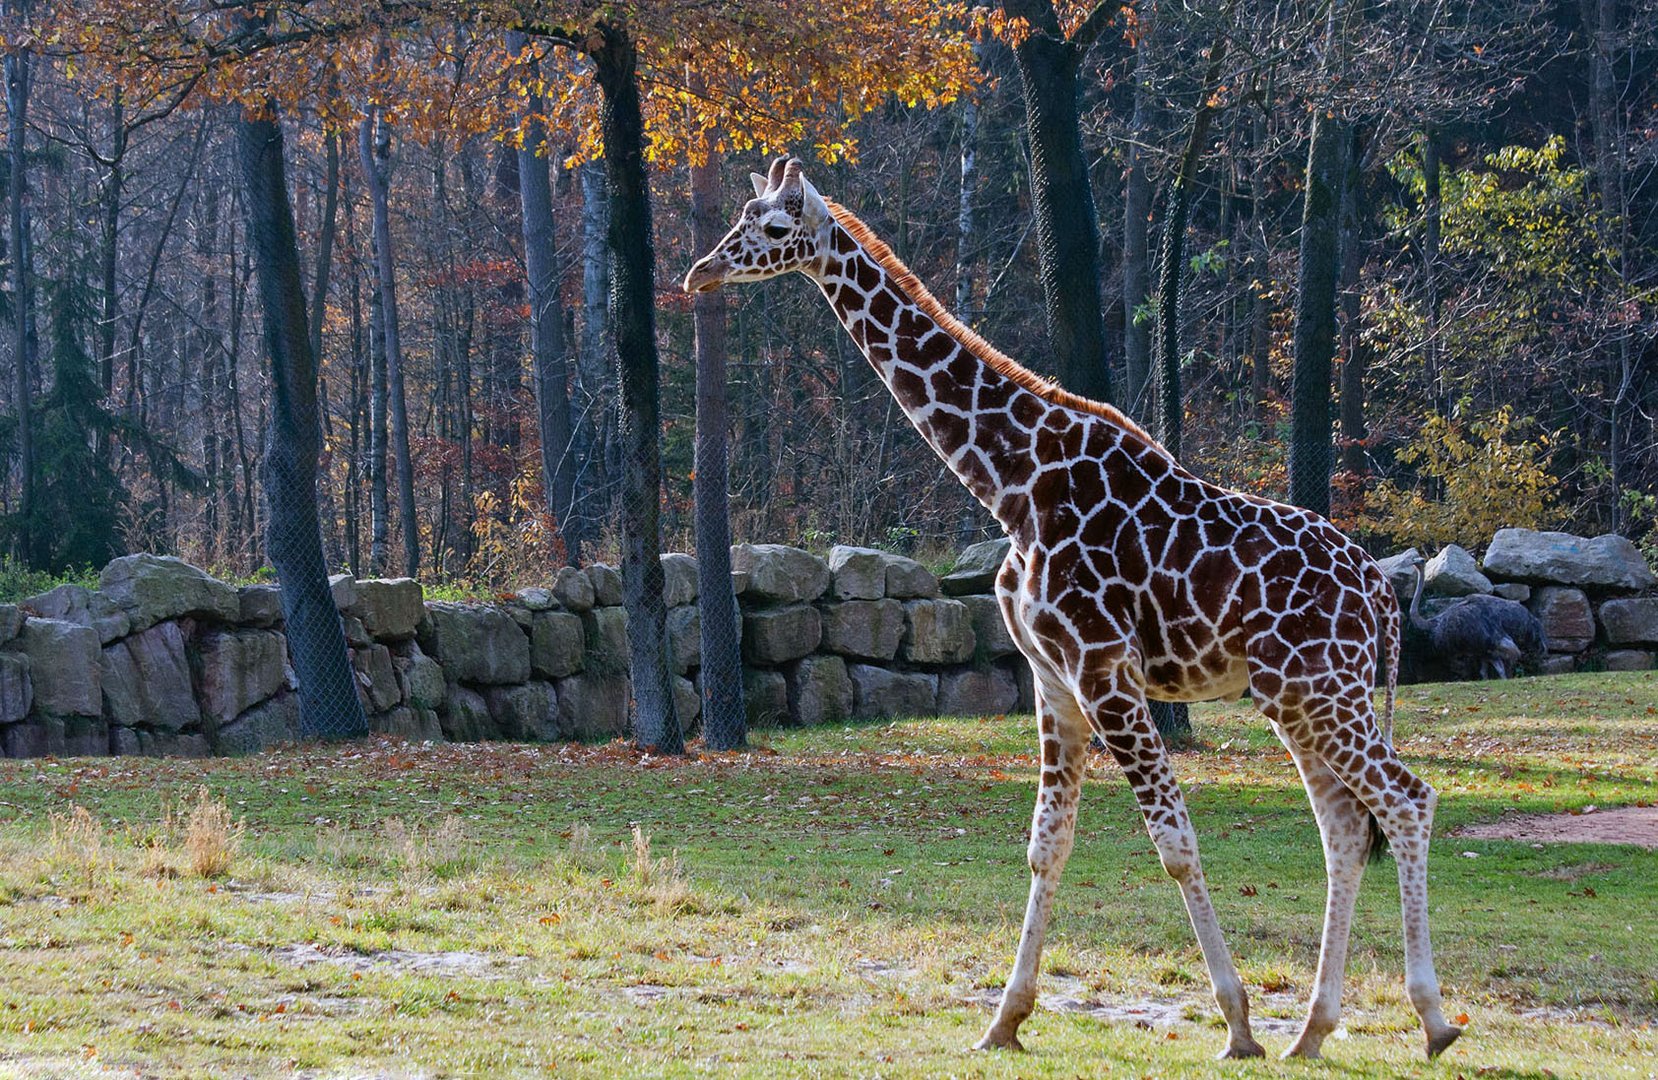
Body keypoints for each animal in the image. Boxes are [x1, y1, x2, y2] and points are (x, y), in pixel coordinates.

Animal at [686, 155, 1465, 1061]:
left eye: (775, 228)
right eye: (741, 218)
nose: (699, 272)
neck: (1012, 485)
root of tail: (1381, 592)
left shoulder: (1104, 669)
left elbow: (1174, 845)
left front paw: (1236, 1023)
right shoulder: (1053, 680)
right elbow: (1045, 847)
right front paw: (1004, 1019)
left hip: (1326, 690)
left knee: (1407, 800)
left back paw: (1432, 1021)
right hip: (1298, 699)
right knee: (1344, 828)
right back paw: (1312, 1029)